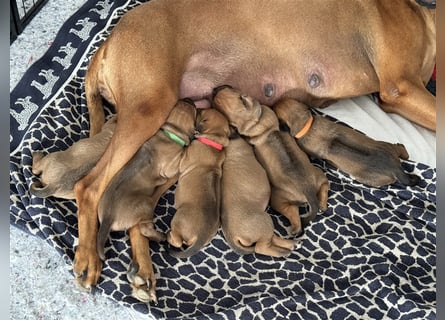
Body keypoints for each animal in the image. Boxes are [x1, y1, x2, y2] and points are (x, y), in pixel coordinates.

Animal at [166, 107, 229, 258]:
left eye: (201, 113)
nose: (198, 107)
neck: (214, 141)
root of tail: (201, 235)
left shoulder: (185, 159)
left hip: (178, 218)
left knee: (177, 241)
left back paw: (168, 236)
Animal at [212, 86, 330, 236]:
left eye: (230, 89)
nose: (214, 90)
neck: (257, 120)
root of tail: (308, 191)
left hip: (278, 199)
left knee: (295, 215)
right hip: (317, 175)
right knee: (323, 187)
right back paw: (321, 205)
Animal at [272, 98, 418, 188]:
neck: (306, 124)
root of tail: (395, 168)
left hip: (368, 178)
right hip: (386, 145)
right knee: (401, 150)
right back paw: (402, 149)